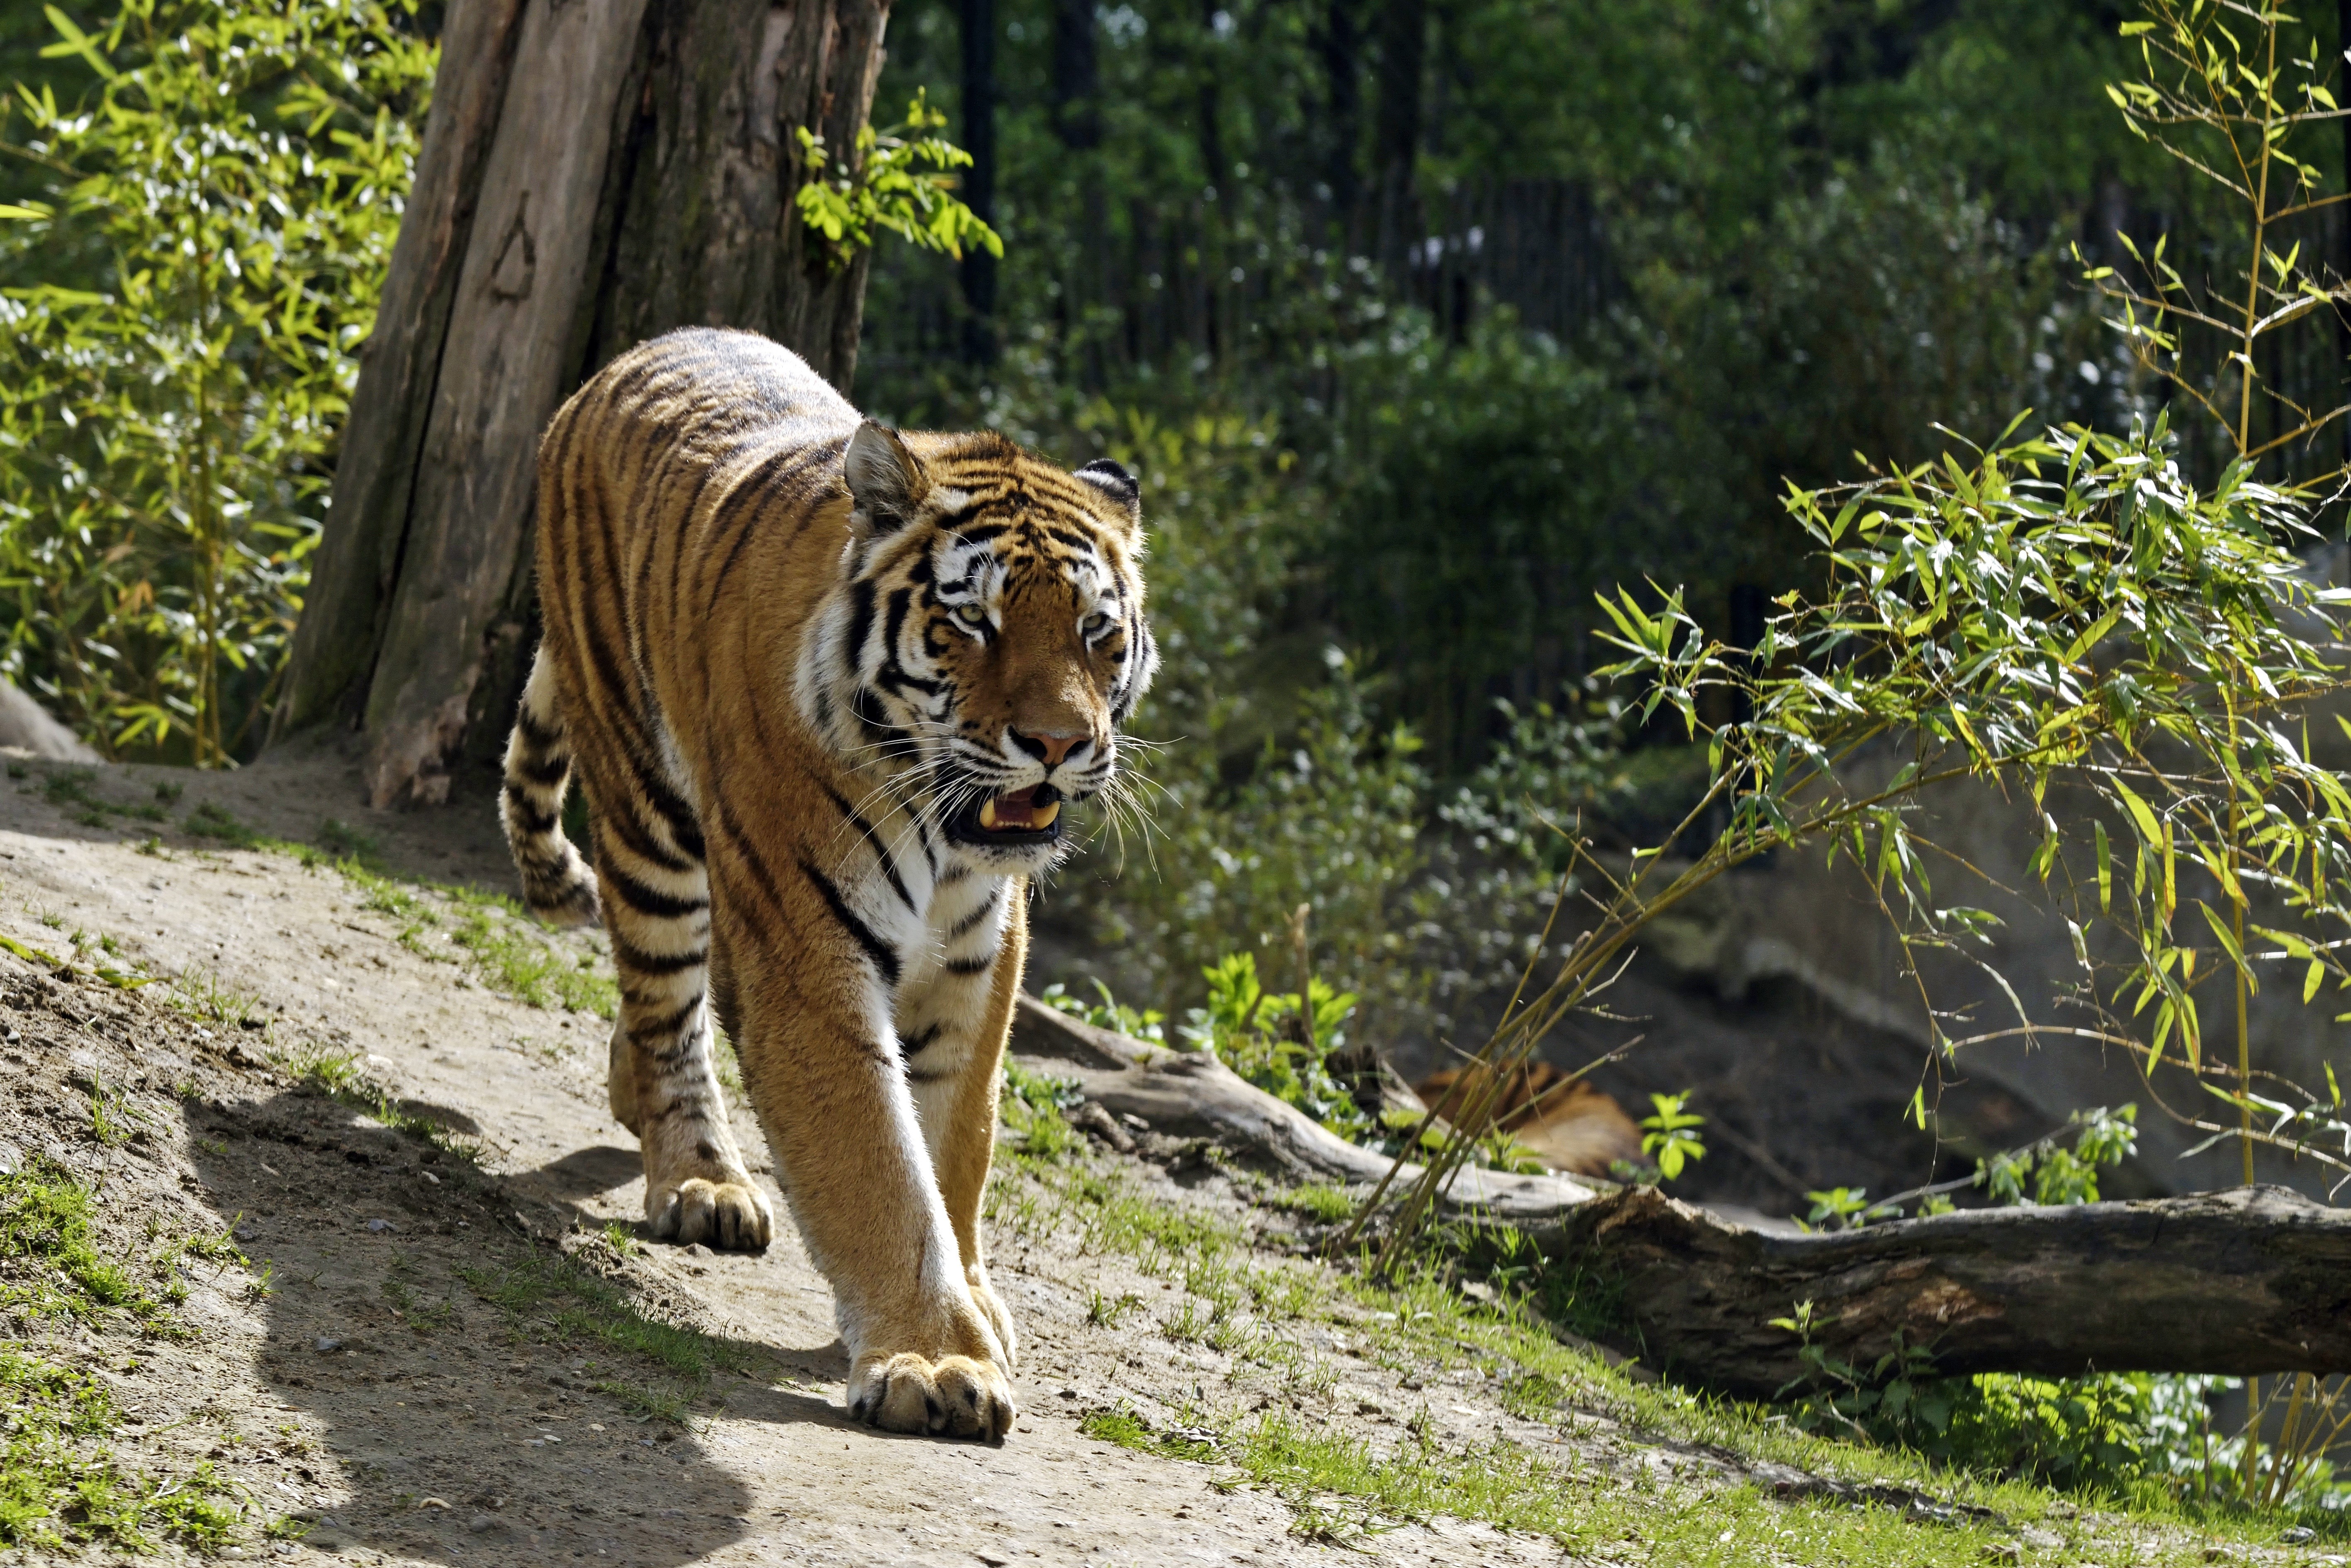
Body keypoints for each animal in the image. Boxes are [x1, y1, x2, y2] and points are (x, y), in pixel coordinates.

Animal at [497, 326, 1156, 1443]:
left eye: (1094, 633)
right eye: (974, 624)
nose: (1060, 744)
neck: (945, 832)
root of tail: (628, 357)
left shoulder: (979, 956)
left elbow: (955, 1144)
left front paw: (970, 1303)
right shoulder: (808, 948)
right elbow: (876, 1159)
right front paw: (934, 1359)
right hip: (647, 812)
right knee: (665, 1004)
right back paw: (701, 1181)